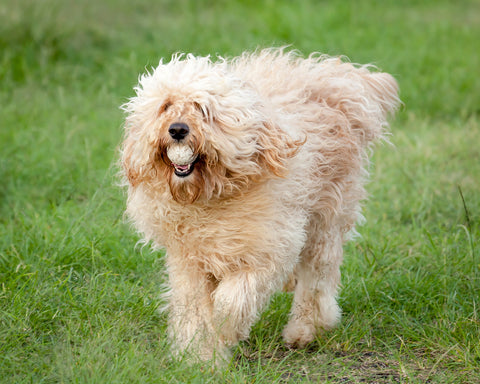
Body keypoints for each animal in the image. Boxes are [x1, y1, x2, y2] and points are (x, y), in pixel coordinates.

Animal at [121, 48, 402, 364]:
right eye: (166, 106)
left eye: (202, 109)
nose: (178, 129)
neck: (210, 195)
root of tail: (335, 80)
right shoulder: (188, 260)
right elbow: (193, 310)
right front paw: (199, 358)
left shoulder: (265, 252)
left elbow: (231, 301)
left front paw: (225, 332)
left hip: (327, 218)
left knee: (317, 277)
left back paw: (304, 330)